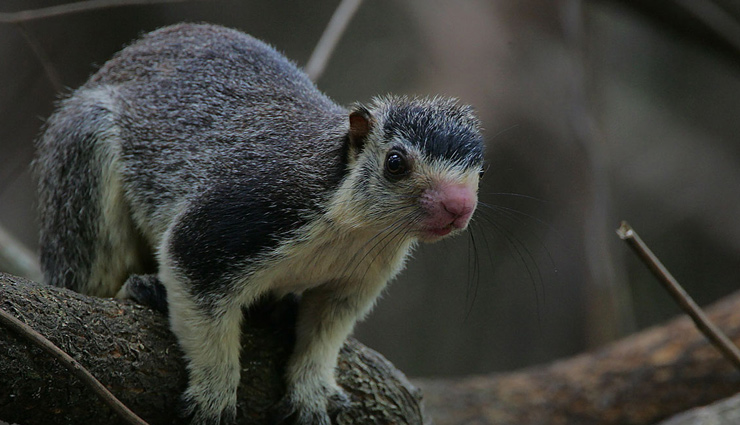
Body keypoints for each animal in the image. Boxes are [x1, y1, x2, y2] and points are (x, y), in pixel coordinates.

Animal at [34, 23, 485, 425]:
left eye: (480, 170)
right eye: (395, 163)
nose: (458, 206)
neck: (353, 234)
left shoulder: (353, 282)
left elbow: (325, 336)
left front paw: (311, 394)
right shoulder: (229, 224)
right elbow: (204, 316)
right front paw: (213, 397)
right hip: (83, 168)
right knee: (88, 277)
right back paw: (138, 288)